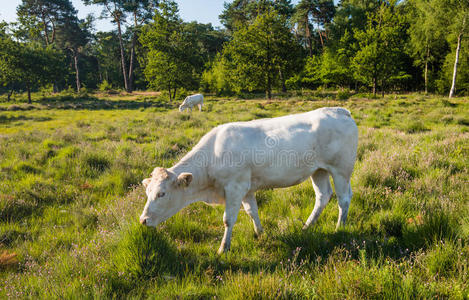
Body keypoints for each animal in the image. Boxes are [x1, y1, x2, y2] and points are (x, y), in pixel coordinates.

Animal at [141, 106, 356, 254]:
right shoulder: (247, 189)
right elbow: (252, 212)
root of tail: (339, 110)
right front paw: (260, 234)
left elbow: (228, 219)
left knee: (343, 199)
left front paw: (223, 248)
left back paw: (339, 228)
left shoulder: (235, 187)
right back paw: (306, 227)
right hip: (319, 170)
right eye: (147, 192)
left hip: (341, 170)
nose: (143, 220)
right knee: (323, 196)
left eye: (162, 193)